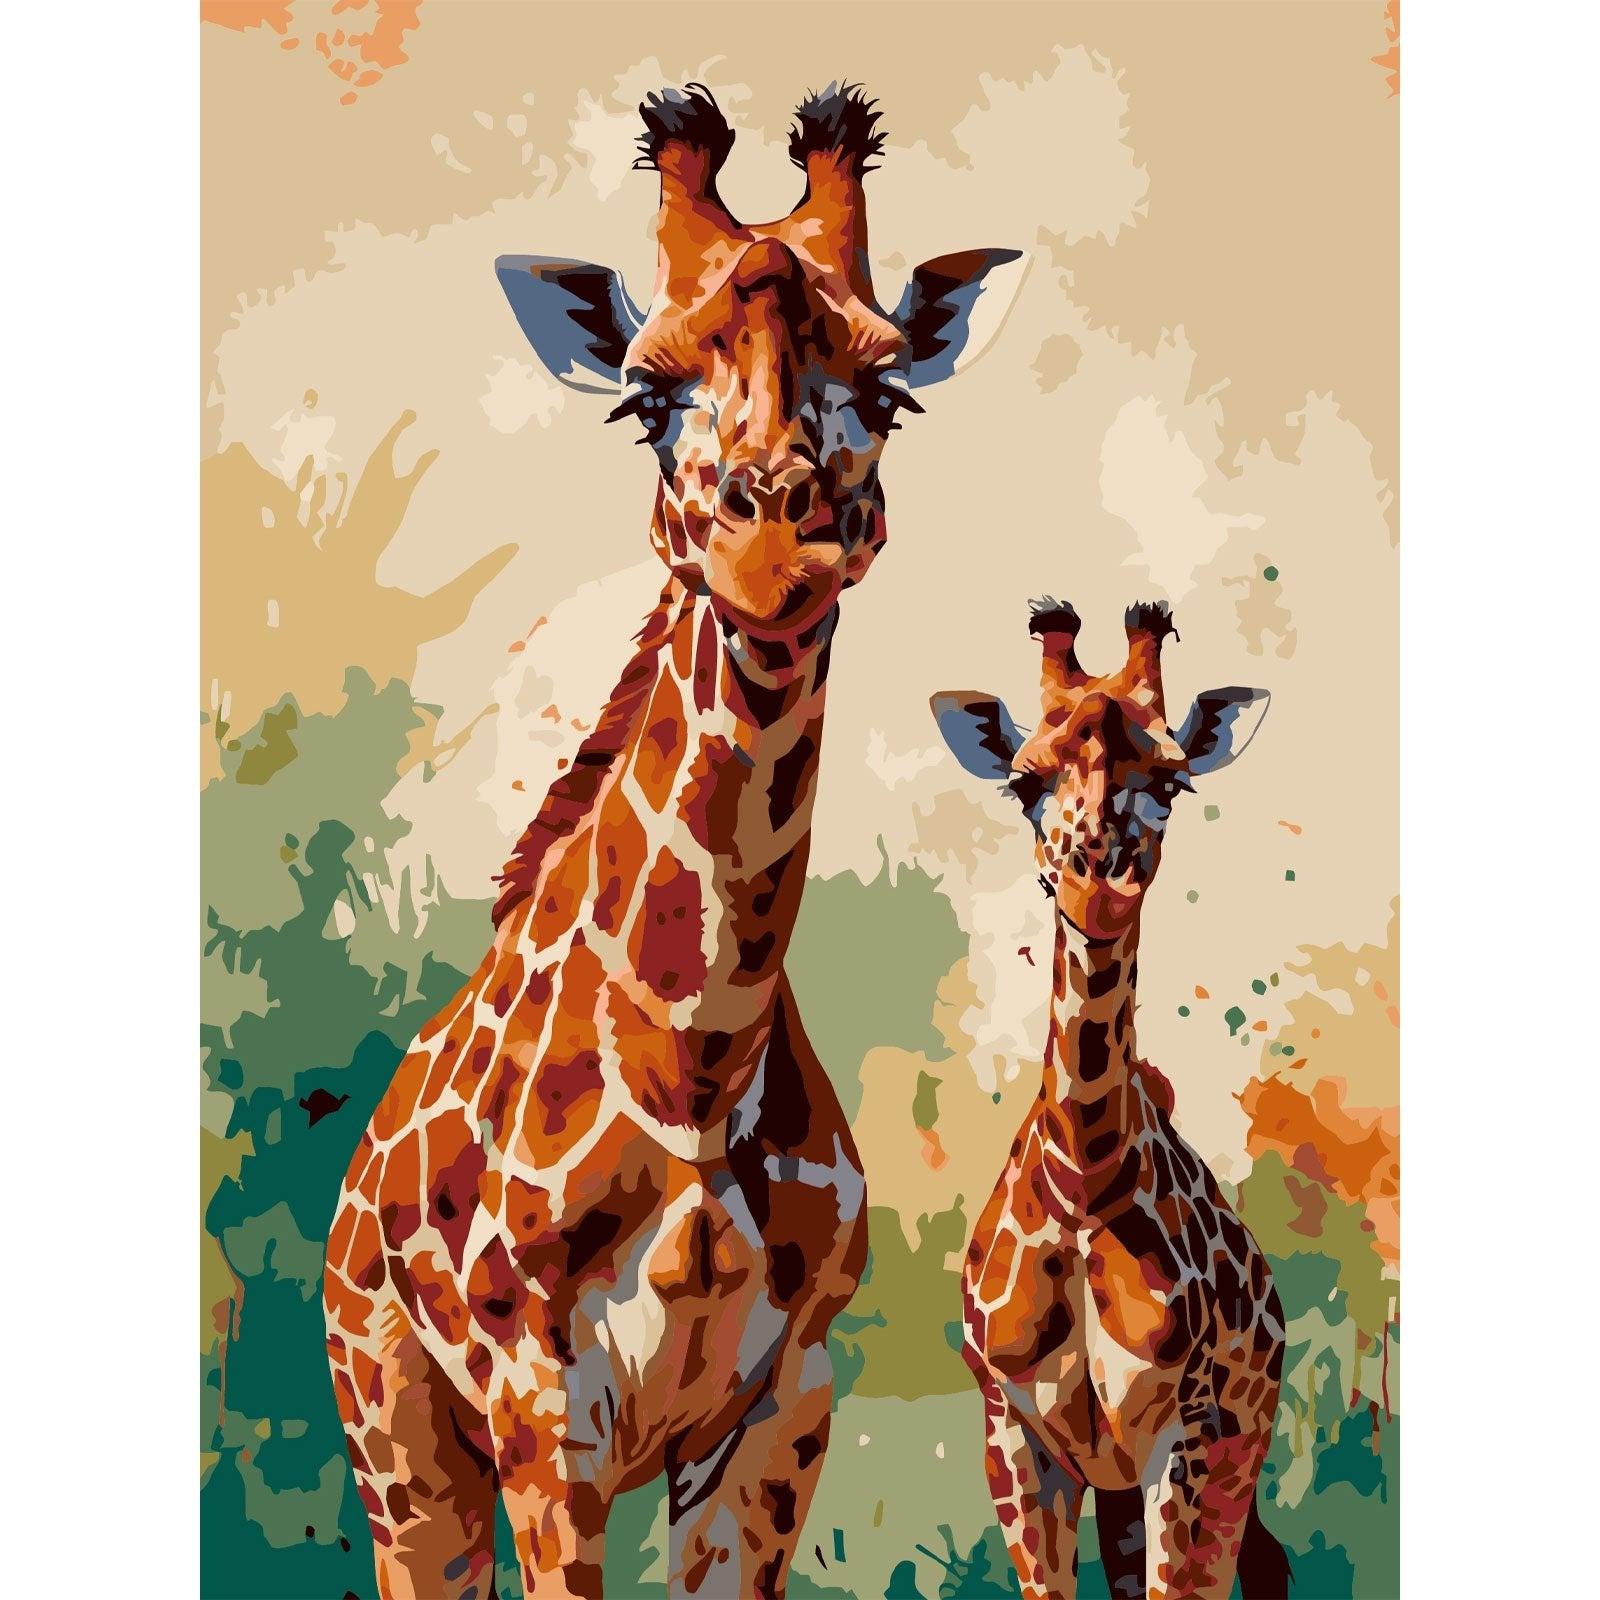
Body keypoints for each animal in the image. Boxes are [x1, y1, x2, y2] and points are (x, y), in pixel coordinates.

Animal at [322, 83, 1028, 1600]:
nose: (775, 546)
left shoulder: (779, 1408)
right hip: (396, 1432)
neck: (698, 1061)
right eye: (646, 399)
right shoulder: (545, 1412)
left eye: (889, 392)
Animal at [930, 599, 1290, 1600]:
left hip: (1239, 1441)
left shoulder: (1191, 1433)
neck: (1084, 1181)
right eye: (1022, 786)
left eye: (1173, 781)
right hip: (1118, 1480)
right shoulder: (1014, 1431)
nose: (1099, 884)